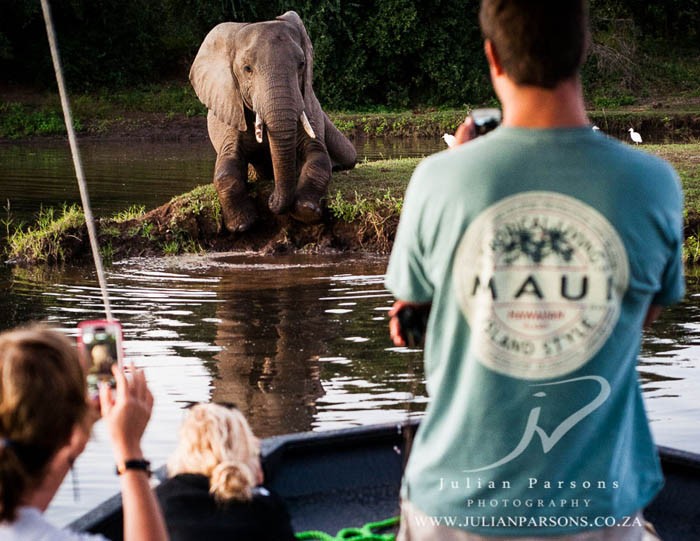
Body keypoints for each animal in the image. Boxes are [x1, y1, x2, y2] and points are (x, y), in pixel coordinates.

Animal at [190, 9, 358, 231]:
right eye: (247, 69)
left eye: (302, 65)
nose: (271, 199)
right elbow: (226, 167)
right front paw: (242, 224)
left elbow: (318, 158)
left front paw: (305, 211)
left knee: (348, 154)